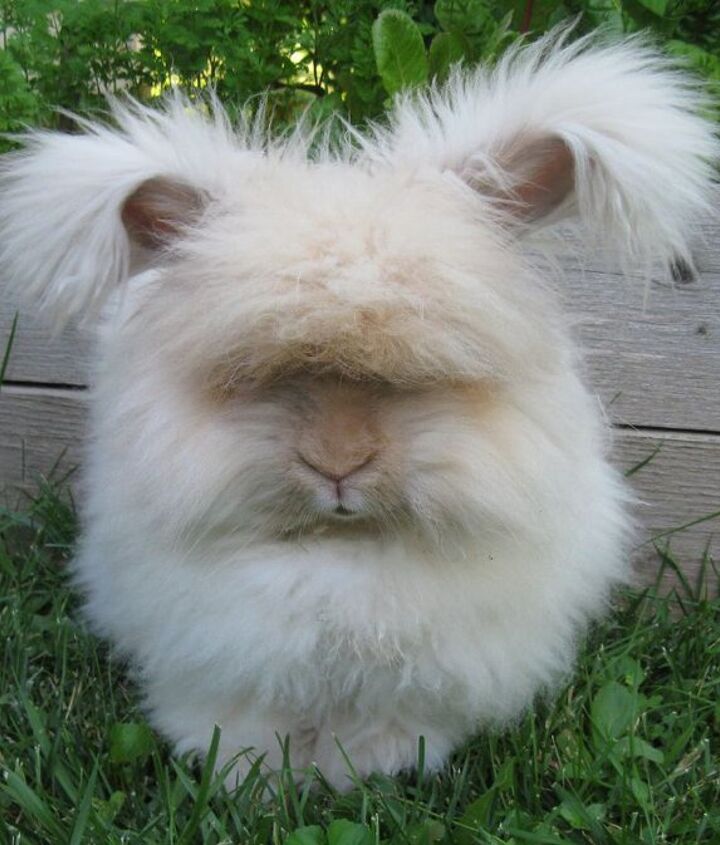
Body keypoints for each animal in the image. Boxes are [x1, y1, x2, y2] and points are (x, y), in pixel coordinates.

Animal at [0, 29, 717, 789]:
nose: (339, 465)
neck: (343, 551)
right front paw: (251, 776)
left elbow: (393, 721)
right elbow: (240, 717)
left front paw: (368, 769)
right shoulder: (211, 647)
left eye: (425, 375)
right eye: (254, 377)